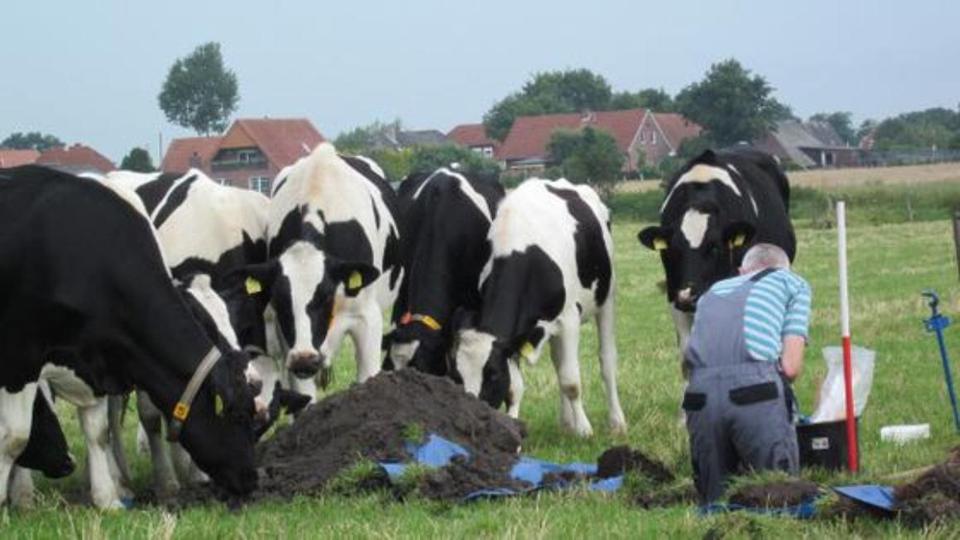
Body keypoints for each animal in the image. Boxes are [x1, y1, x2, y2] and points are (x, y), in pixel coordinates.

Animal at [0, 165, 258, 506]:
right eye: (239, 416)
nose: (253, 478)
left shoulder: (94, 357)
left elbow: (98, 429)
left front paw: (107, 497)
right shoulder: (21, 357)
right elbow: (15, 436)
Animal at [452, 178, 628, 438]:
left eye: (492, 374)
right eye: (457, 374)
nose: (473, 415)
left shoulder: (569, 319)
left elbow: (571, 381)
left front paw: (585, 430)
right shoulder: (513, 338)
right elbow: (515, 388)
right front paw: (513, 428)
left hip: (606, 298)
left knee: (607, 360)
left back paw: (616, 422)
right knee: (558, 362)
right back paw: (566, 423)